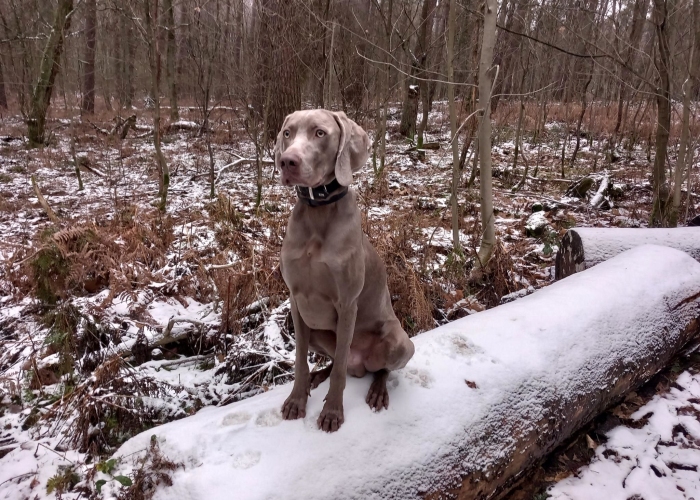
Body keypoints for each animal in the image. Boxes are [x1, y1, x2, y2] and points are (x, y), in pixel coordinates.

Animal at [274, 111, 416, 432]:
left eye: (320, 133)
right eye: (288, 133)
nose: (287, 161)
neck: (318, 211)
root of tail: (359, 366)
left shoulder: (347, 303)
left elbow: (339, 368)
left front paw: (332, 413)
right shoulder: (296, 301)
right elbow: (299, 359)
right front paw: (296, 399)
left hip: (401, 342)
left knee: (379, 369)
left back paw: (377, 390)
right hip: (314, 327)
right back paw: (318, 375)